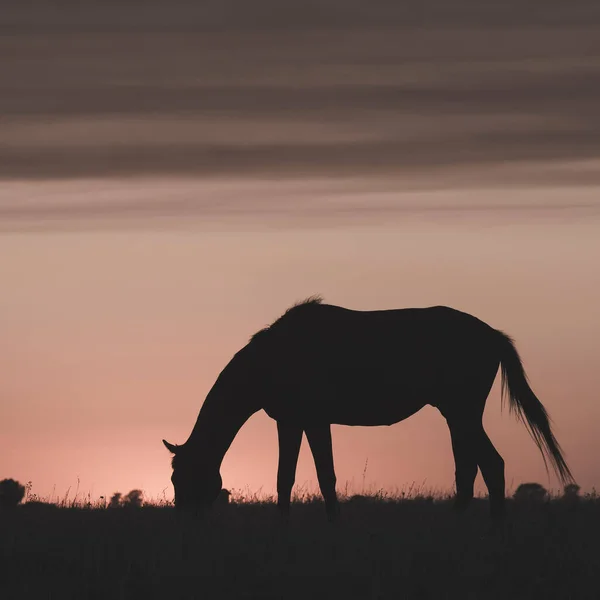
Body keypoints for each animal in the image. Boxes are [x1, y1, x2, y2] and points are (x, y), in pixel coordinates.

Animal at [162, 298, 576, 524]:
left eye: (183, 478)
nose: (184, 521)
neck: (273, 358)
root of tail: (493, 334)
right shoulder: (291, 422)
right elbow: (285, 478)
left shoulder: (315, 421)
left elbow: (324, 476)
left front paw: (332, 526)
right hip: (458, 415)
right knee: (469, 469)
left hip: (462, 412)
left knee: (490, 465)